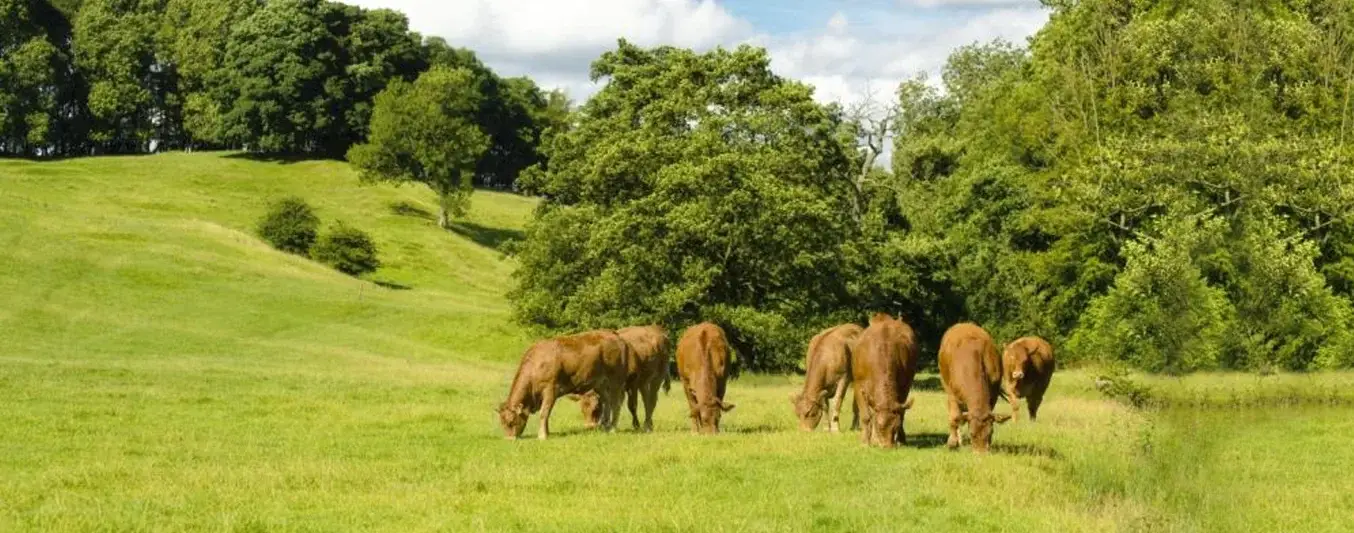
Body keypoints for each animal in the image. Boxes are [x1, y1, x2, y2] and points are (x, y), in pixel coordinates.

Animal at [498, 331, 628, 438]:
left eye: (511, 421)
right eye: (502, 422)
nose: (509, 439)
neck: (536, 365)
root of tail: (615, 335)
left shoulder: (550, 389)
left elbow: (544, 412)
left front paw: (542, 435)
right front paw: (547, 432)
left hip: (616, 381)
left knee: (616, 404)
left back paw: (612, 428)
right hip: (600, 384)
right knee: (607, 402)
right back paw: (605, 425)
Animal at [844, 313, 920, 446]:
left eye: (895, 427)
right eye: (879, 426)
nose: (887, 446)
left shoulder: (905, 385)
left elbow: (902, 413)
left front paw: (901, 439)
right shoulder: (859, 385)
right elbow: (866, 416)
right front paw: (865, 441)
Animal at [942, 323, 1018, 451]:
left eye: (991, 432)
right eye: (972, 434)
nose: (981, 453)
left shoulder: (993, 393)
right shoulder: (952, 394)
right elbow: (954, 417)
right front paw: (952, 442)